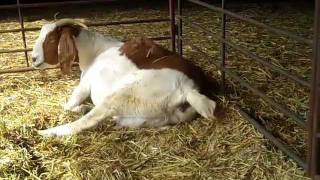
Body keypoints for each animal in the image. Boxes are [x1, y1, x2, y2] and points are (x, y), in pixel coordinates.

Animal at [31, 18, 218, 136]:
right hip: (141, 119)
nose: (33, 58)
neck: (96, 51)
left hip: (123, 94)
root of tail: (188, 89)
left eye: (50, 40)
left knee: (86, 121)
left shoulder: (85, 83)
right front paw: (83, 107)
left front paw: (80, 107)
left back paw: (46, 132)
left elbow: (68, 105)